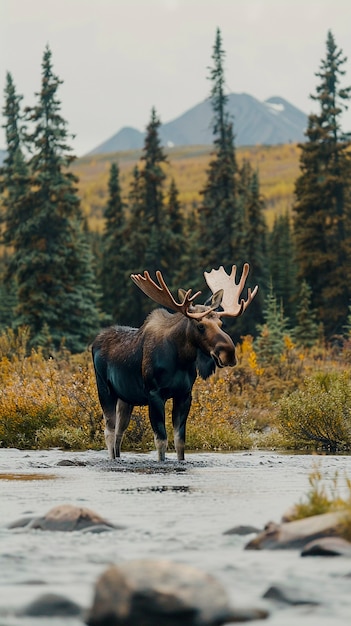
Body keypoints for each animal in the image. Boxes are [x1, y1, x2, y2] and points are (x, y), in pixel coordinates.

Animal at [93, 260, 258, 460]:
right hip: (105, 389)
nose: (229, 353)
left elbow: (180, 441)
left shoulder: (184, 394)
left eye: (221, 323)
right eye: (200, 325)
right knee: (109, 431)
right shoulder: (154, 394)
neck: (181, 360)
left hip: (126, 398)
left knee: (119, 432)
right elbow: (161, 440)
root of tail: (94, 342)